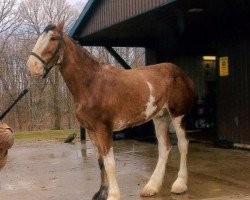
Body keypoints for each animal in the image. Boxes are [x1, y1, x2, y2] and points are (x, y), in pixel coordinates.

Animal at [26, 22, 195, 200]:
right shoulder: (92, 131)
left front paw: (113, 195)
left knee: (183, 144)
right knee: (165, 147)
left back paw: (180, 184)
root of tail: (183, 75)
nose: (32, 66)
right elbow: (101, 162)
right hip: (160, 117)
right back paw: (152, 187)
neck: (91, 84)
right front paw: (101, 192)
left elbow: (110, 163)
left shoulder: (104, 129)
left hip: (178, 115)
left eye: (53, 38)